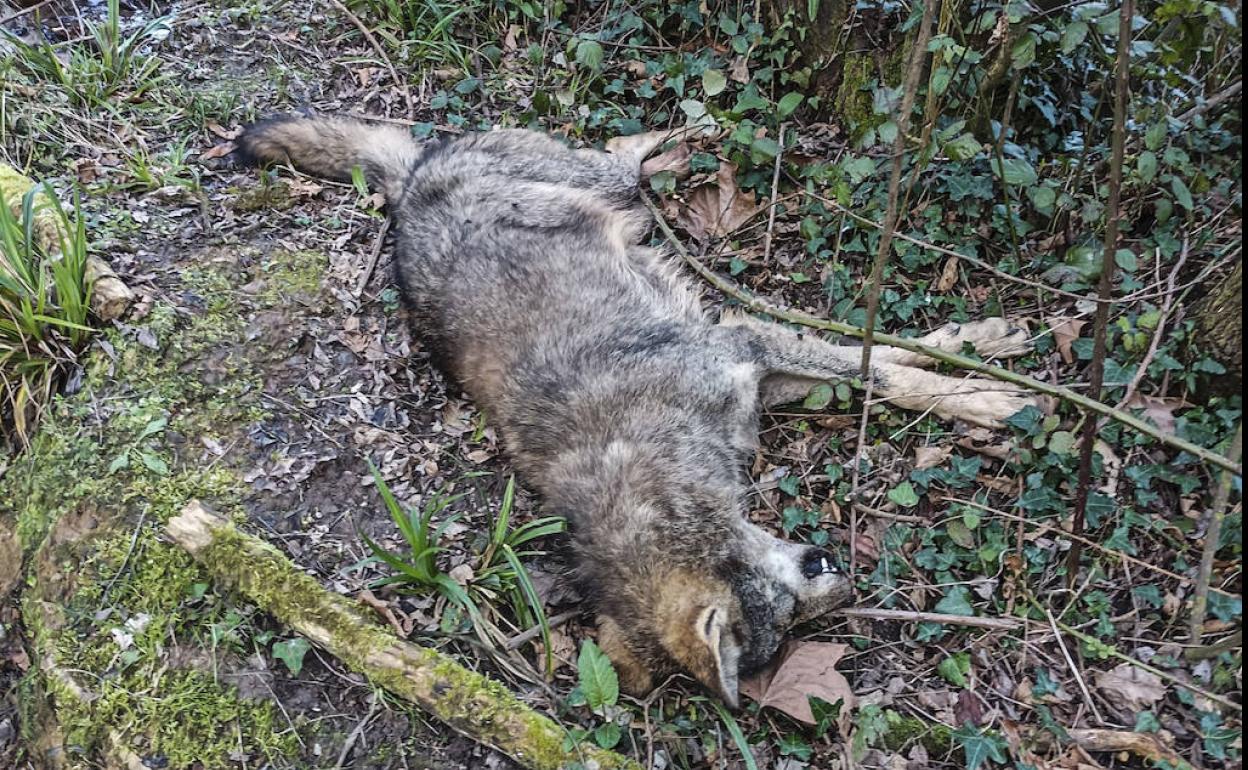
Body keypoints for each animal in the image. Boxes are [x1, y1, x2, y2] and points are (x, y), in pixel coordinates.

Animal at [238, 115, 1038, 708]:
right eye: (790, 618)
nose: (839, 566)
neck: (656, 471)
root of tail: (408, 186)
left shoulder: (740, 342)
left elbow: (885, 364)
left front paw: (985, 377)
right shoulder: (750, 365)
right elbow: (875, 371)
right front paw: (984, 377)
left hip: (595, 180)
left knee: (623, 152)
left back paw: (690, 127)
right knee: (624, 158)